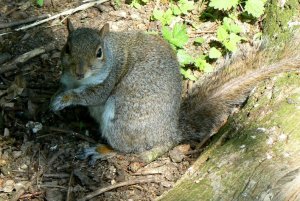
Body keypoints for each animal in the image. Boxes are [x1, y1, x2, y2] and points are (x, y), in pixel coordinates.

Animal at [50, 20, 298, 162]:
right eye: (67, 48)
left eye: (99, 52)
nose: (80, 72)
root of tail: (170, 132)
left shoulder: (108, 80)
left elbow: (93, 95)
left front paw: (64, 99)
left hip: (123, 119)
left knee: (132, 151)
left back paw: (103, 151)